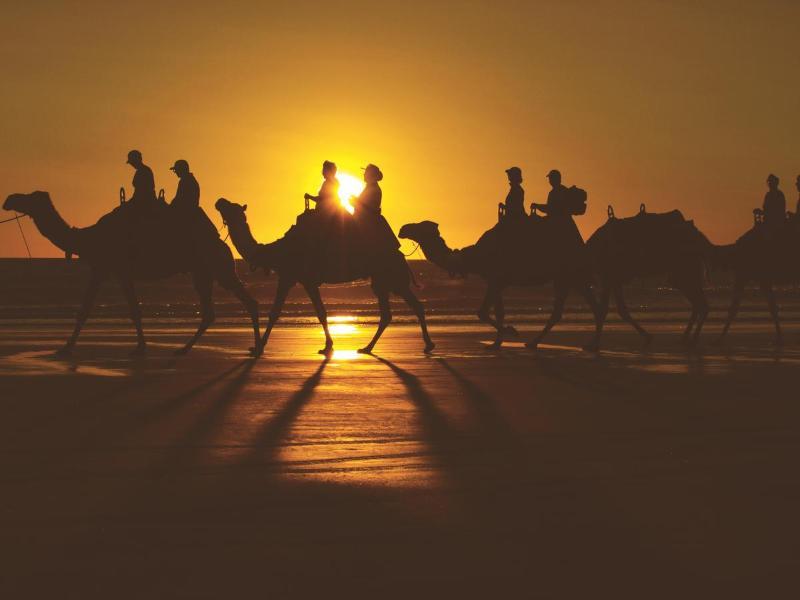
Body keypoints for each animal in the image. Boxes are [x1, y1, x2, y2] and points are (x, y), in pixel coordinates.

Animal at [4, 190, 260, 354]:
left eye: (29, 196)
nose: (8, 199)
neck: (88, 238)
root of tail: (220, 242)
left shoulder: (107, 268)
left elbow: (89, 309)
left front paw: (65, 347)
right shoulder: (113, 271)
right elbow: (130, 310)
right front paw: (141, 345)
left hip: (215, 267)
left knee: (239, 303)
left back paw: (251, 348)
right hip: (205, 271)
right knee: (215, 310)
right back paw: (188, 348)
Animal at [216, 197, 434, 356]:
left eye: (232, 207)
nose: (219, 201)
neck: (276, 251)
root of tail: (400, 255)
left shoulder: (292, 277)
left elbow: (278, 312)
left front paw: (258, 347)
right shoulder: (301, 279)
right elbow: (317, 312)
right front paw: (328, 346)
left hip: (390, 277)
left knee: (406, 308)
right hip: (384, 280)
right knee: (397, 311)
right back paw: (372, 347)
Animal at [396, 216, 604, 350]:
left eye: (421, 227)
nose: (402, 229)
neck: (472, 258)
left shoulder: (496, 279)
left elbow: (482, 312)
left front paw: (512, 332)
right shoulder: (497, 281)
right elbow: (499, 312)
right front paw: (497, 343)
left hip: (567, 276)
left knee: (570, 310)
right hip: (569, 278)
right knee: (588, 308)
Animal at [588, 205, 712, 346]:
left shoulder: (608, 276)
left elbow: (604, 309)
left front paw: (594, 343)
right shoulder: (613, 279)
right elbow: (620, 310)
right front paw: (647, 336)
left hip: (686, 269)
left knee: (702, 305)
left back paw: (693, 339)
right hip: (682, 274)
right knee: (698, 304)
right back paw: (686, 337)